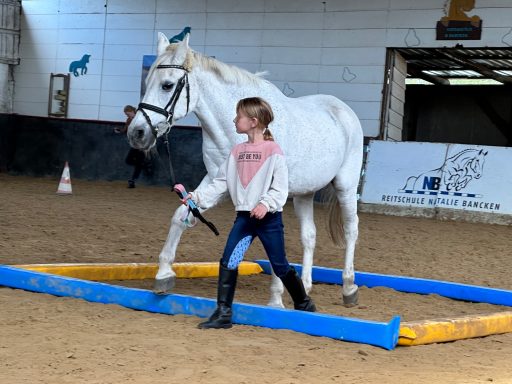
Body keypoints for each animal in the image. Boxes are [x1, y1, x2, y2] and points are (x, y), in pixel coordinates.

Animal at [127, 33, 364, 308]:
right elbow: (181, 215)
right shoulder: (217, 181)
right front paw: (164, 274)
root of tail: (342, 109)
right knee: (310, 236)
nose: (137, 133)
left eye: (167, 85)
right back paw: (305, 286)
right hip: (305, 193)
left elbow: (275, 241)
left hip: (345, 186)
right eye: (147, 82)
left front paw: (276, 299)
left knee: (351, 229)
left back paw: (349, 287)